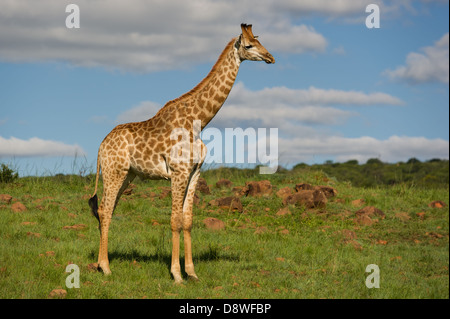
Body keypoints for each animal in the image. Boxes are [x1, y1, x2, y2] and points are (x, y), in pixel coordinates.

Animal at [88, 22, 274, 284]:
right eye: (248, 45)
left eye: (259, 41)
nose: (270, 57)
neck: (198, 121)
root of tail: (101, 145)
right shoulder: (178, 171)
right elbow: (175, 220)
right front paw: (176, 274)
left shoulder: (195, 172)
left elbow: (187, 220)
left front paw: (192, 272)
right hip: (114, 171)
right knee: (105, 210)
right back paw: (105, 267)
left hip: (127, 175)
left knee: (107, 209)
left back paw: (100, 264)